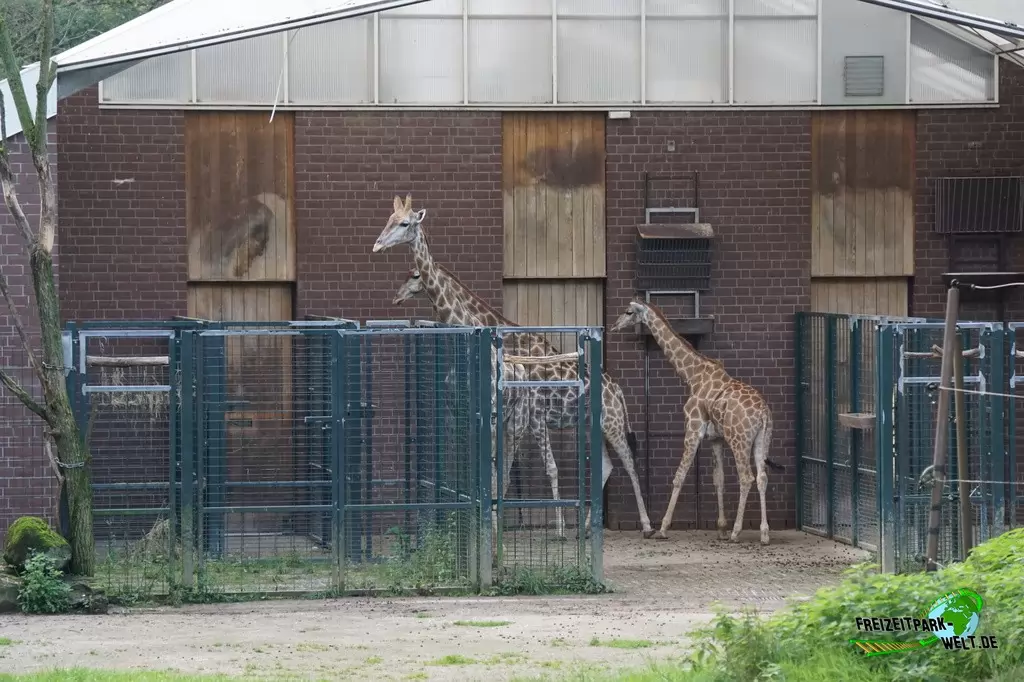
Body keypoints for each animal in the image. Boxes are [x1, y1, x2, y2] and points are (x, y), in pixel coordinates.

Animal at [374, 200, 654, 538]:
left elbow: (528, 470)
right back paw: (585, 528)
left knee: (628, 462)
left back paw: (646, 526)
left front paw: (547, 528)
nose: (377, 245)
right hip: (590, 424)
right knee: (606, 466)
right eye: (389, 218)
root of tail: (618, 390)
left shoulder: (526, 418)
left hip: (610, 423)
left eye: (404, 223)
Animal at [609, 298, 785, 545]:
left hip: (739, 440)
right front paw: (721, 528)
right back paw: (764, 533)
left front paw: (663, 528)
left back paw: (737, 532)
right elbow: (718, 479)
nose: (614, 326)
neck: (692, 375)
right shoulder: (716, 439)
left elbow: (679, 476)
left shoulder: (693, 429)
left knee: (747, 477)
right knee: (762, 477)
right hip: (763, 438)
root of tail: (763, 414)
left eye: (628, 312)